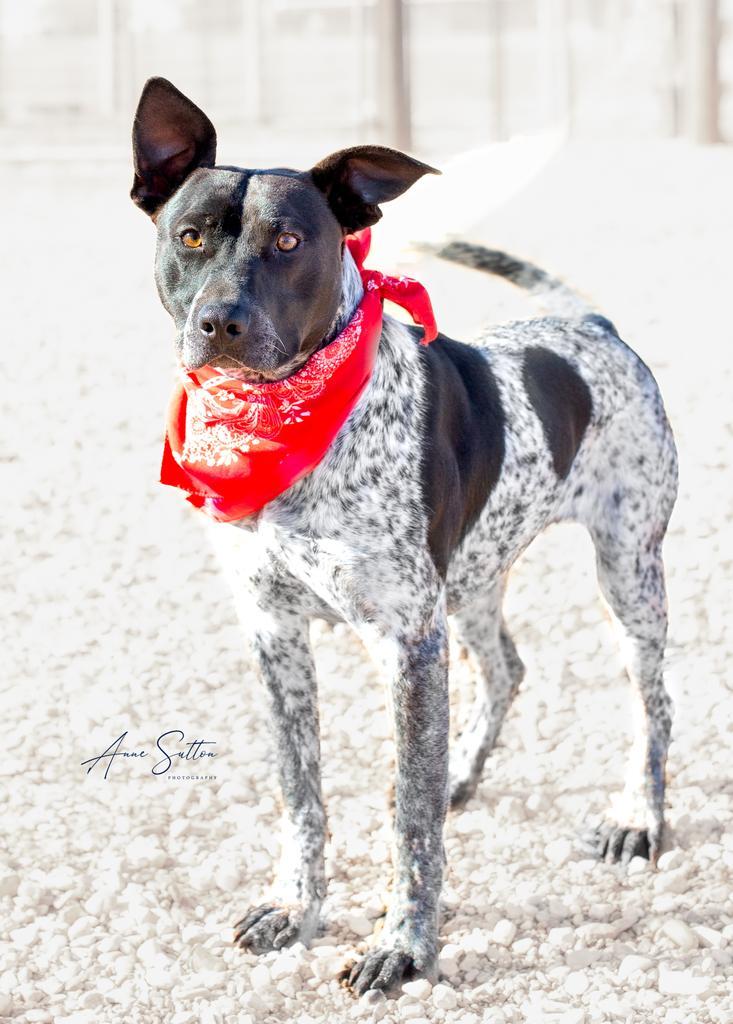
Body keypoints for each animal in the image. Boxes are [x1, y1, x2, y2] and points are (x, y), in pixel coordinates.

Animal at [130, 77, 675, 991]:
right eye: (190, 235)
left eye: (289, 241)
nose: (220, 322)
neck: (291, 428)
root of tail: (591, 327)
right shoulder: (274, 635)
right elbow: (302, 794)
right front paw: (293, 905)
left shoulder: (404, 640)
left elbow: (409, 818)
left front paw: (404, 945)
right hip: (472, 578)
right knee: (505, 666)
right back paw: (464, 769)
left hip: (627, 571)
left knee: (652, 703)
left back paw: (637, 816)